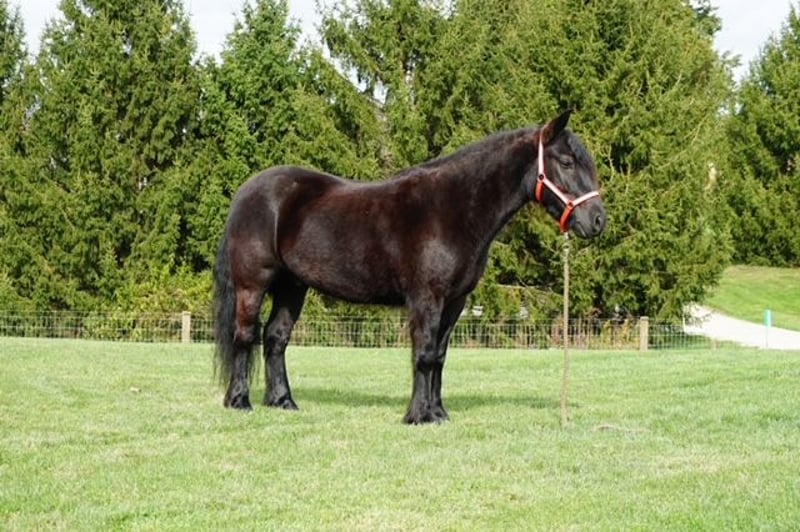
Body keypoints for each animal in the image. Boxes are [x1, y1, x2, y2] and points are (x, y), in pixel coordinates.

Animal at [213, 110, 606, 424]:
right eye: (567, 162)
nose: (598, 221)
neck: (453, 208)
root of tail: (246, 193)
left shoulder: (455, 302)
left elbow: (440, 357)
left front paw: (438, 412)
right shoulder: (426, 298)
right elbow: (424, 354)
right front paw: (419, 415)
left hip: (292, 287)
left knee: (276, 338)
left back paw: (283, 401)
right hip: (253, 284)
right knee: (244, 336)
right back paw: (240, 401)